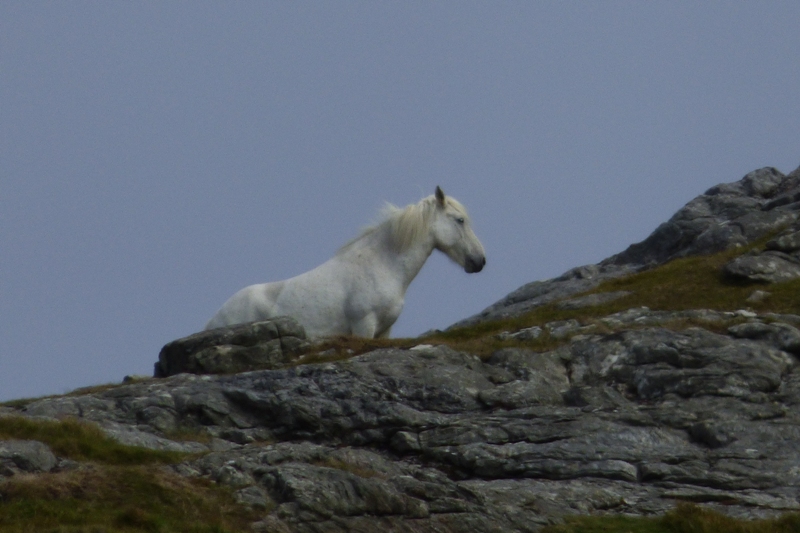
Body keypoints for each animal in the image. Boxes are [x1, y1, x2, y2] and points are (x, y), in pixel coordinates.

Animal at [203, 186, 484, 336]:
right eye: (460, 220)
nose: (479, 260)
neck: (381, 265)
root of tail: (214, 320)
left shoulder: (384, 330)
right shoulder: (364, 326)